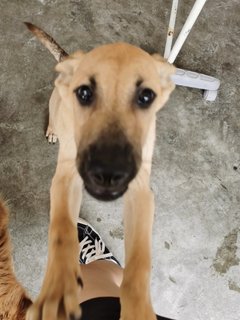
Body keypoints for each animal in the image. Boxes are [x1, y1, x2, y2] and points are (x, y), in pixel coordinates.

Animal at [0, 23, 174, 320]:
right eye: (84, 94)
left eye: (146, 96)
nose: (108, 171)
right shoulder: (65, 180)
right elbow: (61, 233)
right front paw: (58, 289)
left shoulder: (141, 193)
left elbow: (141, 256)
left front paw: (137, 306)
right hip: (56, 106)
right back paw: (52, 131)